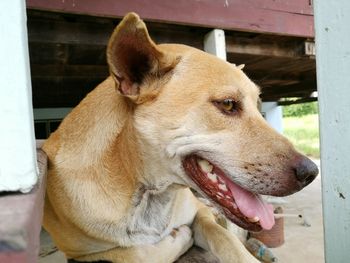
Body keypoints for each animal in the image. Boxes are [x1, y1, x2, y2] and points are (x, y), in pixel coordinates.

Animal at [42, 12, 318, 263]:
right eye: (228, 104)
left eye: (260, 107)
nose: (311, 173)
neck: (147, 192)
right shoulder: (82, 254)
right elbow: (137, 253)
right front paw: (178, 239)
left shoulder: (199, 213)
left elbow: (226, 238)